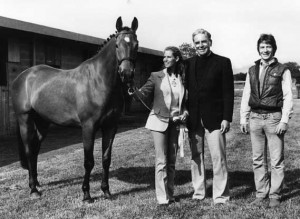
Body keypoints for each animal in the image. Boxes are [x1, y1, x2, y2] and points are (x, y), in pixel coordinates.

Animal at [11, 16, 139, 202]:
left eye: (136, 44)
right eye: (117, 45)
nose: (127, 73)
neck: (99, 81)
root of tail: (22, 77)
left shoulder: (111, 126)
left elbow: (106, 159)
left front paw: (106, 191)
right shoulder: (88, 127)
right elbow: (88, 161)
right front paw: (86, 194)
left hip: (42, 123)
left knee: (35, 150)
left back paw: (36, 183)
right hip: (25, 120)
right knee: (29, 151)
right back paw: (33, 190)